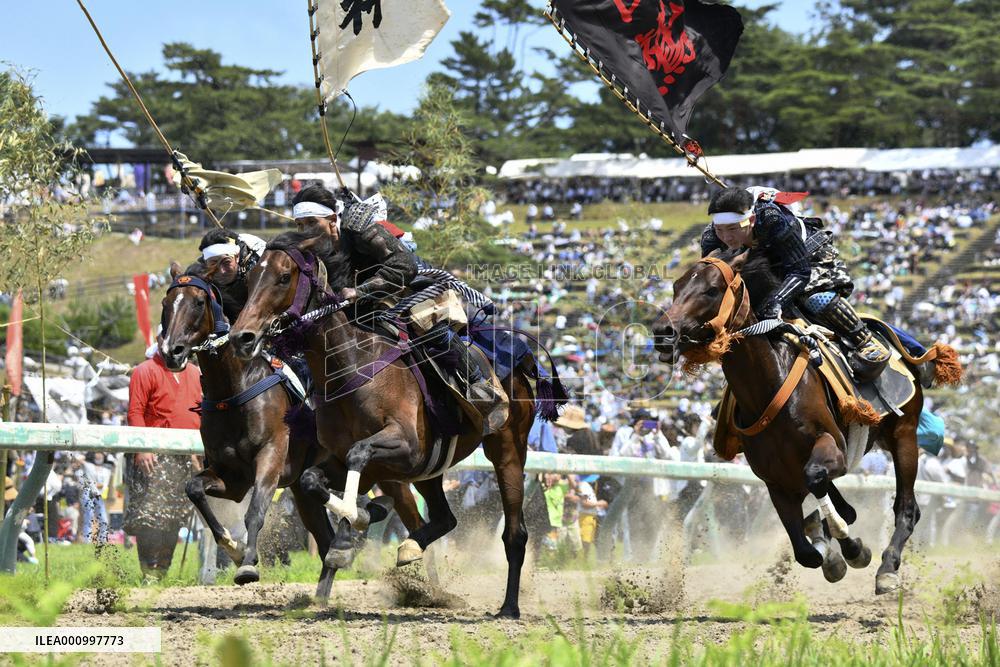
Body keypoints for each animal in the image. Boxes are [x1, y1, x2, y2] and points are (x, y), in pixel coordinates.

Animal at [229, 228, 566, 618]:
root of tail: (521, 354)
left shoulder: (406, 446)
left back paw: (509, 607)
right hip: (431, 468)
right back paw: (410, 548)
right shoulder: (361, 462)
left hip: (507, 447)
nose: (242, 337)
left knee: (515, 532)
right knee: (446, 518)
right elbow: (314, 479)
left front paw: (352, 524)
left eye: (284, 277)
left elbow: (360, 454)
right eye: (250, 280)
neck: (352, 365)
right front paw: (361, 519)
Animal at [652, 249, 960, 594]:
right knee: (845, 507)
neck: (767, 385)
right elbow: (805, 551)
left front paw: (852, 548)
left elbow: (818, 482)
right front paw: (832, 552)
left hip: (904, 435)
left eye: (711, 290)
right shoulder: (775, 480)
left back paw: (887, 568)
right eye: (676, 286)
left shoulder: (833, 449)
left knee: (906, 508)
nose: (663, 332)